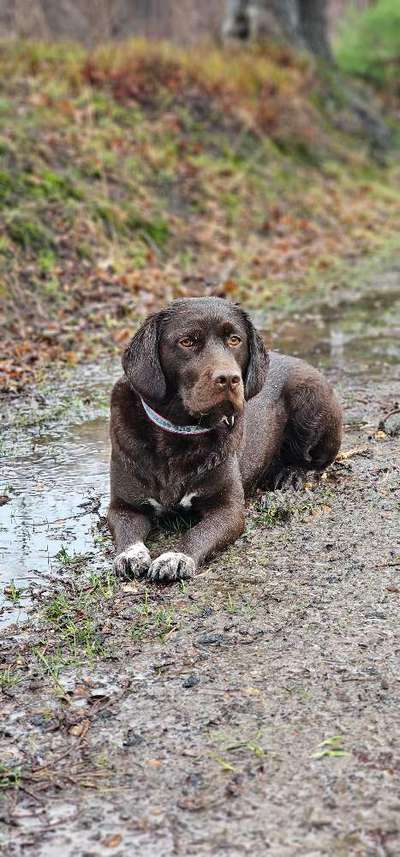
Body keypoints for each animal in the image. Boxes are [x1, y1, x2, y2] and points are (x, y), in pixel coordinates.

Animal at [107, 294, 340, 580]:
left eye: (235, 340)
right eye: (187, 341)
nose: (229, 378)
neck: (178, 434)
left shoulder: (228, 510)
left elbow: (198, 533)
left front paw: (176, 557)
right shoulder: (123, 506)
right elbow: (127, 533)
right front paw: (131, 555)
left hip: (311, 398)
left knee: (317, 460)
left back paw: (291, 473)